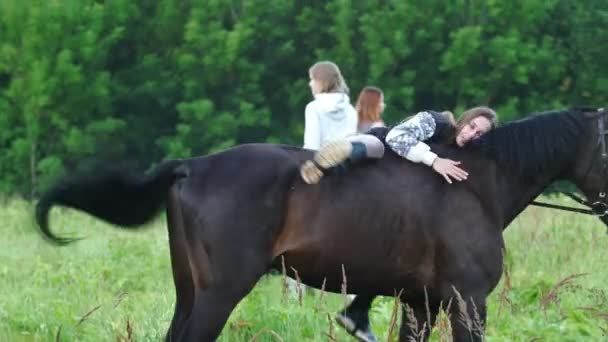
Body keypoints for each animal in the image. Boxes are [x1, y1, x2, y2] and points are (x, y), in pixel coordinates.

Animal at [36, 106, 608, 340]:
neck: (476, 183)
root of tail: (192, 165)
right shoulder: (467, 302)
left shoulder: (419, 305)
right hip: (221, 293)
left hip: (190, 291)